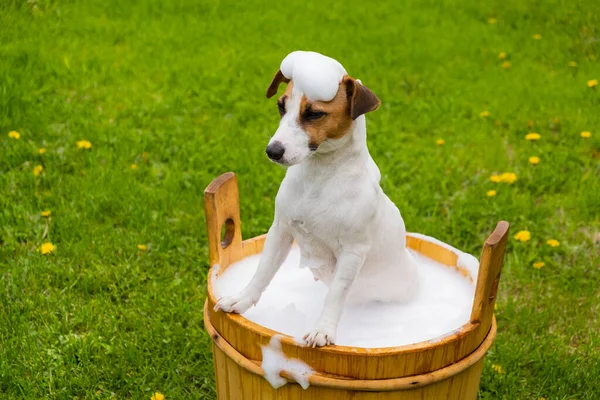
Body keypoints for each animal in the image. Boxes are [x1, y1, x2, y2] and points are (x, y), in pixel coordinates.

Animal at [214, 51, 418, 346]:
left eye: (314, 113)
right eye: (281, 106)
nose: (272, 151)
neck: (318, 177)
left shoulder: (353, 252)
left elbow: (335, 294)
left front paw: (323, 329)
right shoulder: (281, 230)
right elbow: (262, 272)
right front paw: (241, 299)